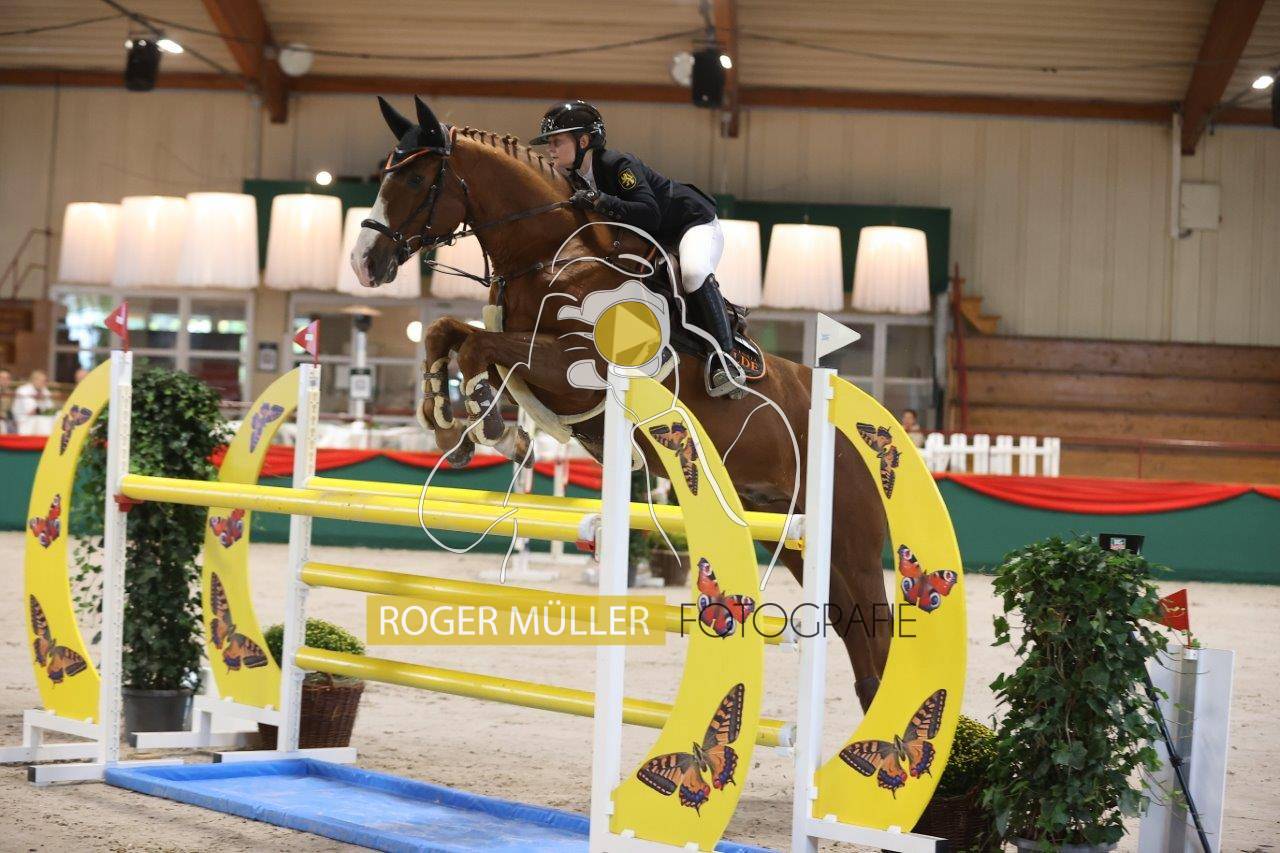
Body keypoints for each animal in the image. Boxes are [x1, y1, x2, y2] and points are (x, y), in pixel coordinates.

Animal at [352, 96, 890, 711]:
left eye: (416, 178)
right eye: (385, 172)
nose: (364, 262)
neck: (549, 256)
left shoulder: (575, 368)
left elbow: (479, 348)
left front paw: (486, 423)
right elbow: (447, 332)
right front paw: (449, 425)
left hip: (850, 539)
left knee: (876, 632)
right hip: (789, 533)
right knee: (856, 638)